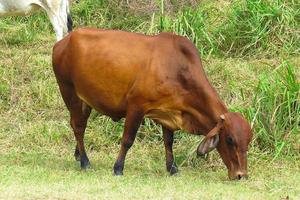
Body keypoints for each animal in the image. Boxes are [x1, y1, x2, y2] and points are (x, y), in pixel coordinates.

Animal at [52, 28, 253, 180]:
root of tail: (63, 41)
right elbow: (128, 140)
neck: (178, 70)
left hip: (85, 100)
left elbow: (168, 142)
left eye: (248, 141)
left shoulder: (169, 112)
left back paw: (78, 155)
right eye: (230, 139)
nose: (241, 175)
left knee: (81, 125)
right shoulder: (136, 106)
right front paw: (118, 168)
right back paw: (85, 162)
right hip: (69, 91)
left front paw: (172, 168)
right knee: (78, 127)